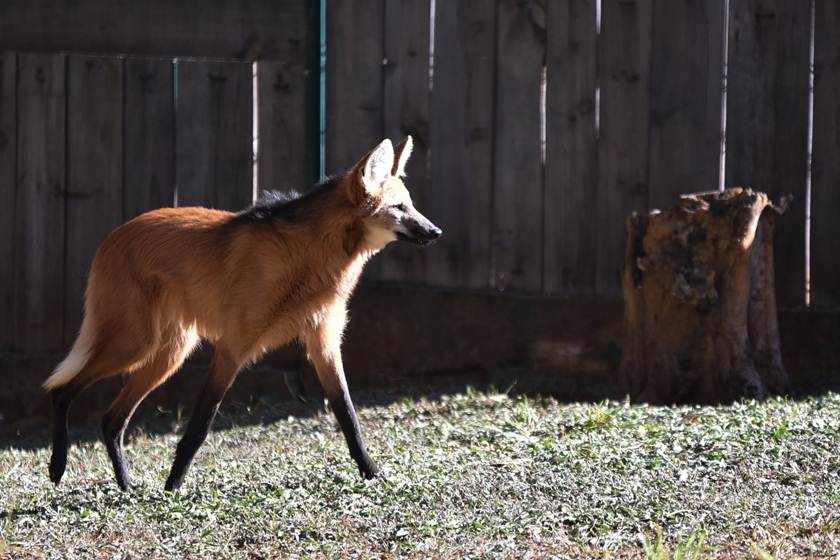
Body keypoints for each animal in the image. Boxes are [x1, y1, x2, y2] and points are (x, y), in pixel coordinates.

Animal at [42, 137, 442, 490]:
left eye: (410, 204)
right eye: (399, 208)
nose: (436, 230)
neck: (311, 257)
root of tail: (112, 236)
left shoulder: (324, 343)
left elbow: (349, 417)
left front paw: (373, 475)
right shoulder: (233, 348)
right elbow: (200, 425)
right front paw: (172, 488)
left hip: (169, 354)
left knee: (112, 419)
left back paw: (126, 486)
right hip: (135, 343)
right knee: (63, 390)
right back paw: (58, 467)